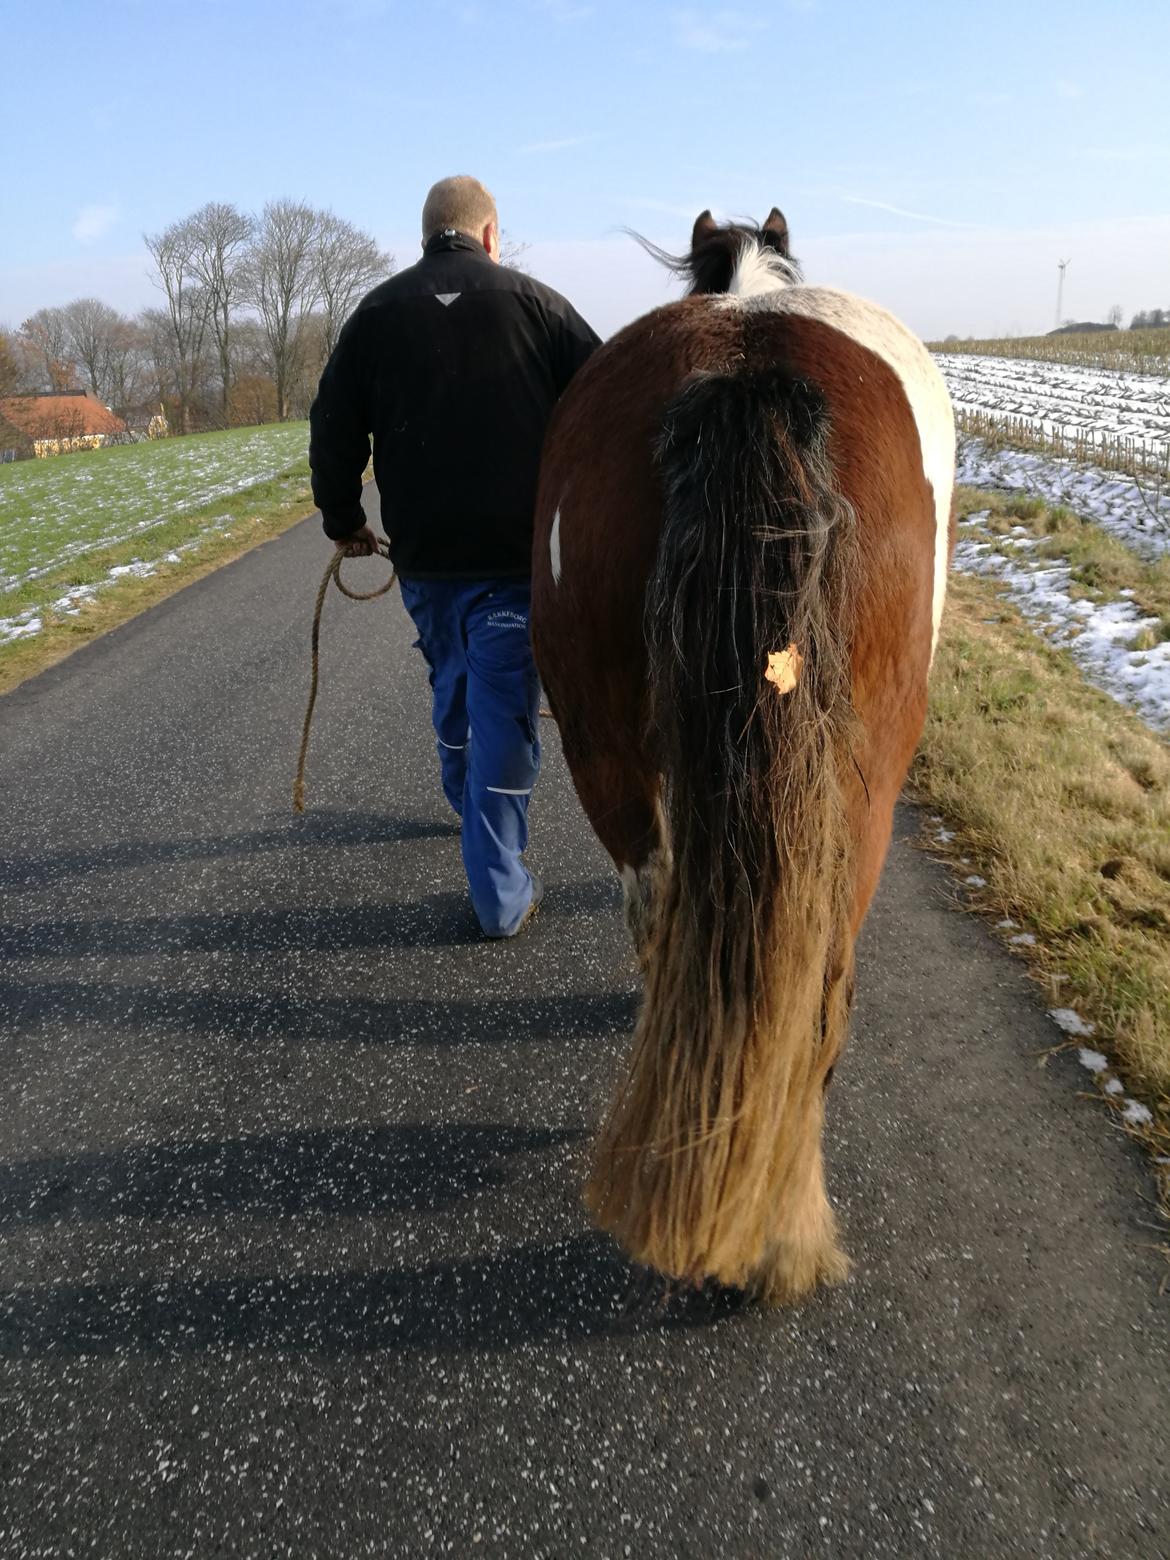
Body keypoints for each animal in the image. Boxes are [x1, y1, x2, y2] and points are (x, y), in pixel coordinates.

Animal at [530, 210, 954, 1304]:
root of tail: (747, 369)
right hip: (860, 795)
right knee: (814, 985)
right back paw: (779, 1224)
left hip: (606, 752)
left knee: (665, 907)